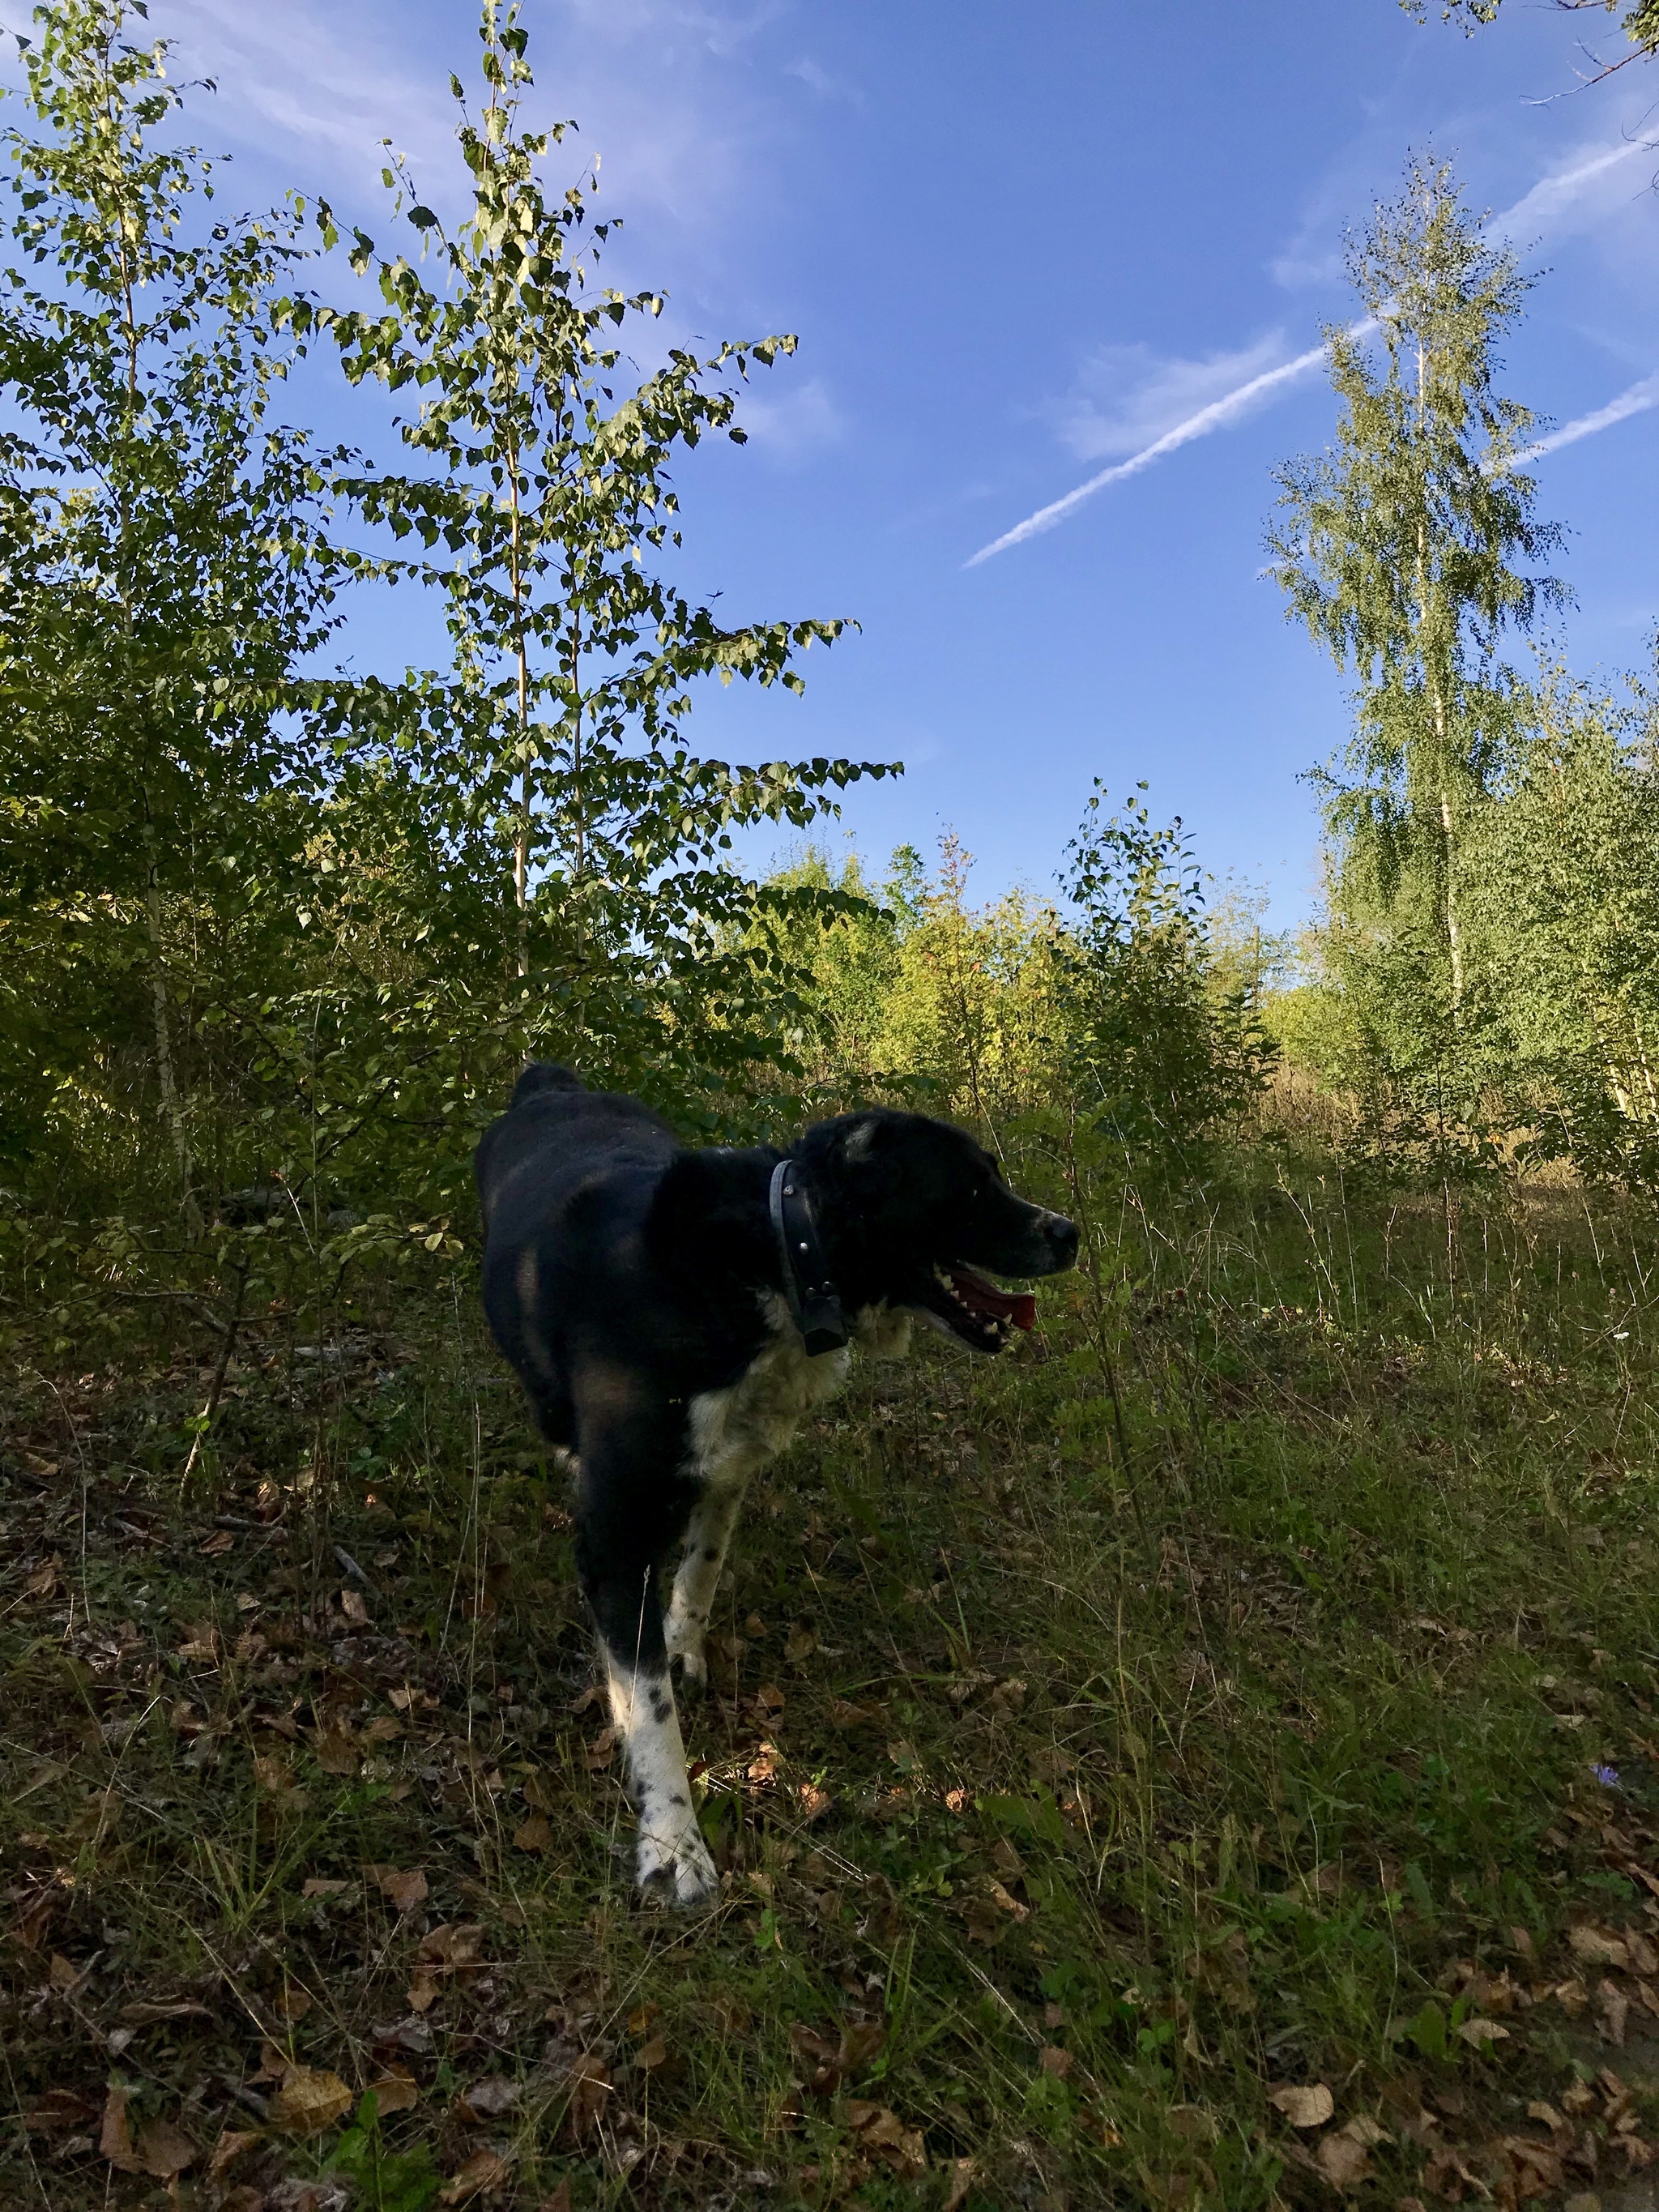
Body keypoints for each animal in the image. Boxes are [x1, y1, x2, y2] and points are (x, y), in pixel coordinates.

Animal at [473, 1065, 1084, 1902]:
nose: (1070, 1232)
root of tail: (548, 1081)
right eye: (969, 1186)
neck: (776, 1259)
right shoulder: (617, 1530)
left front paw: (680, 1650)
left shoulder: (731, 1462)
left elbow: (700, 1571)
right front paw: (673, 1841)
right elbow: (653, 1708)